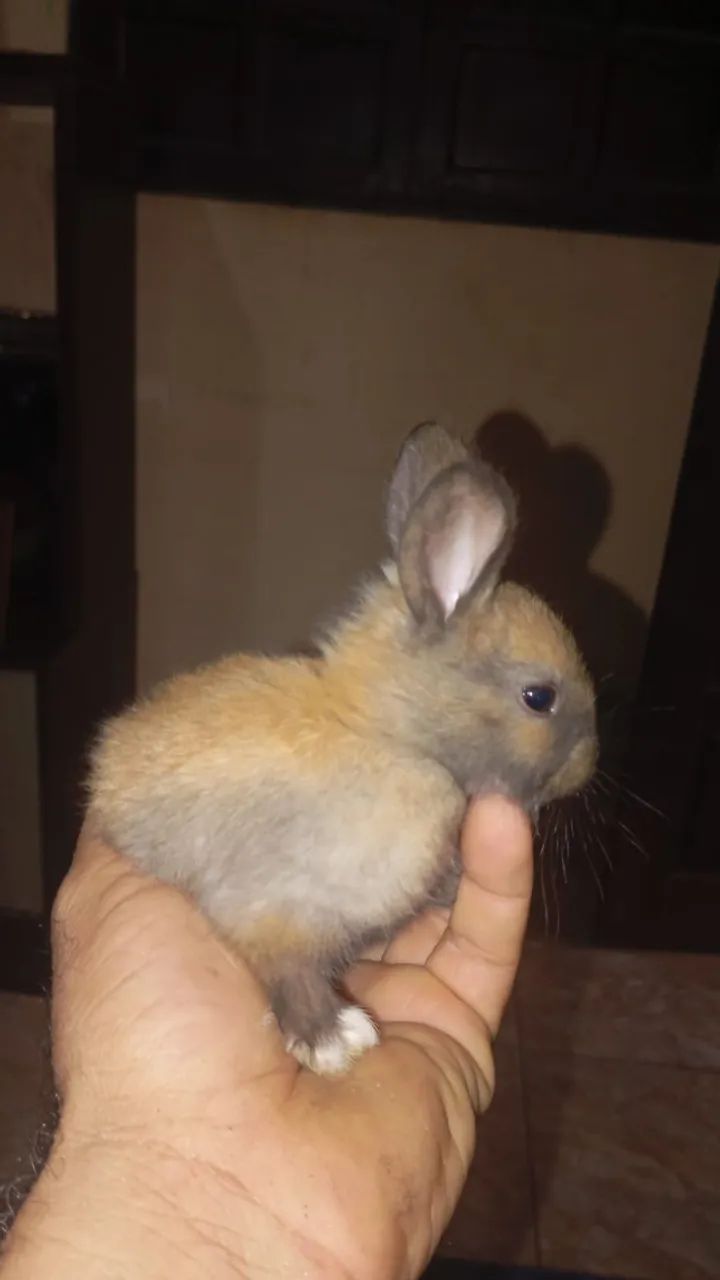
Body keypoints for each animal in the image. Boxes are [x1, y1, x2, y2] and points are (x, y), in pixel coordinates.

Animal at [87, 422, 597, 1076]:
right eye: (539, 697)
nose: (589, 763)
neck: (391, 736)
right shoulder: (273, 907)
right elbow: (290, 971)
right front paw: (335, 1041)